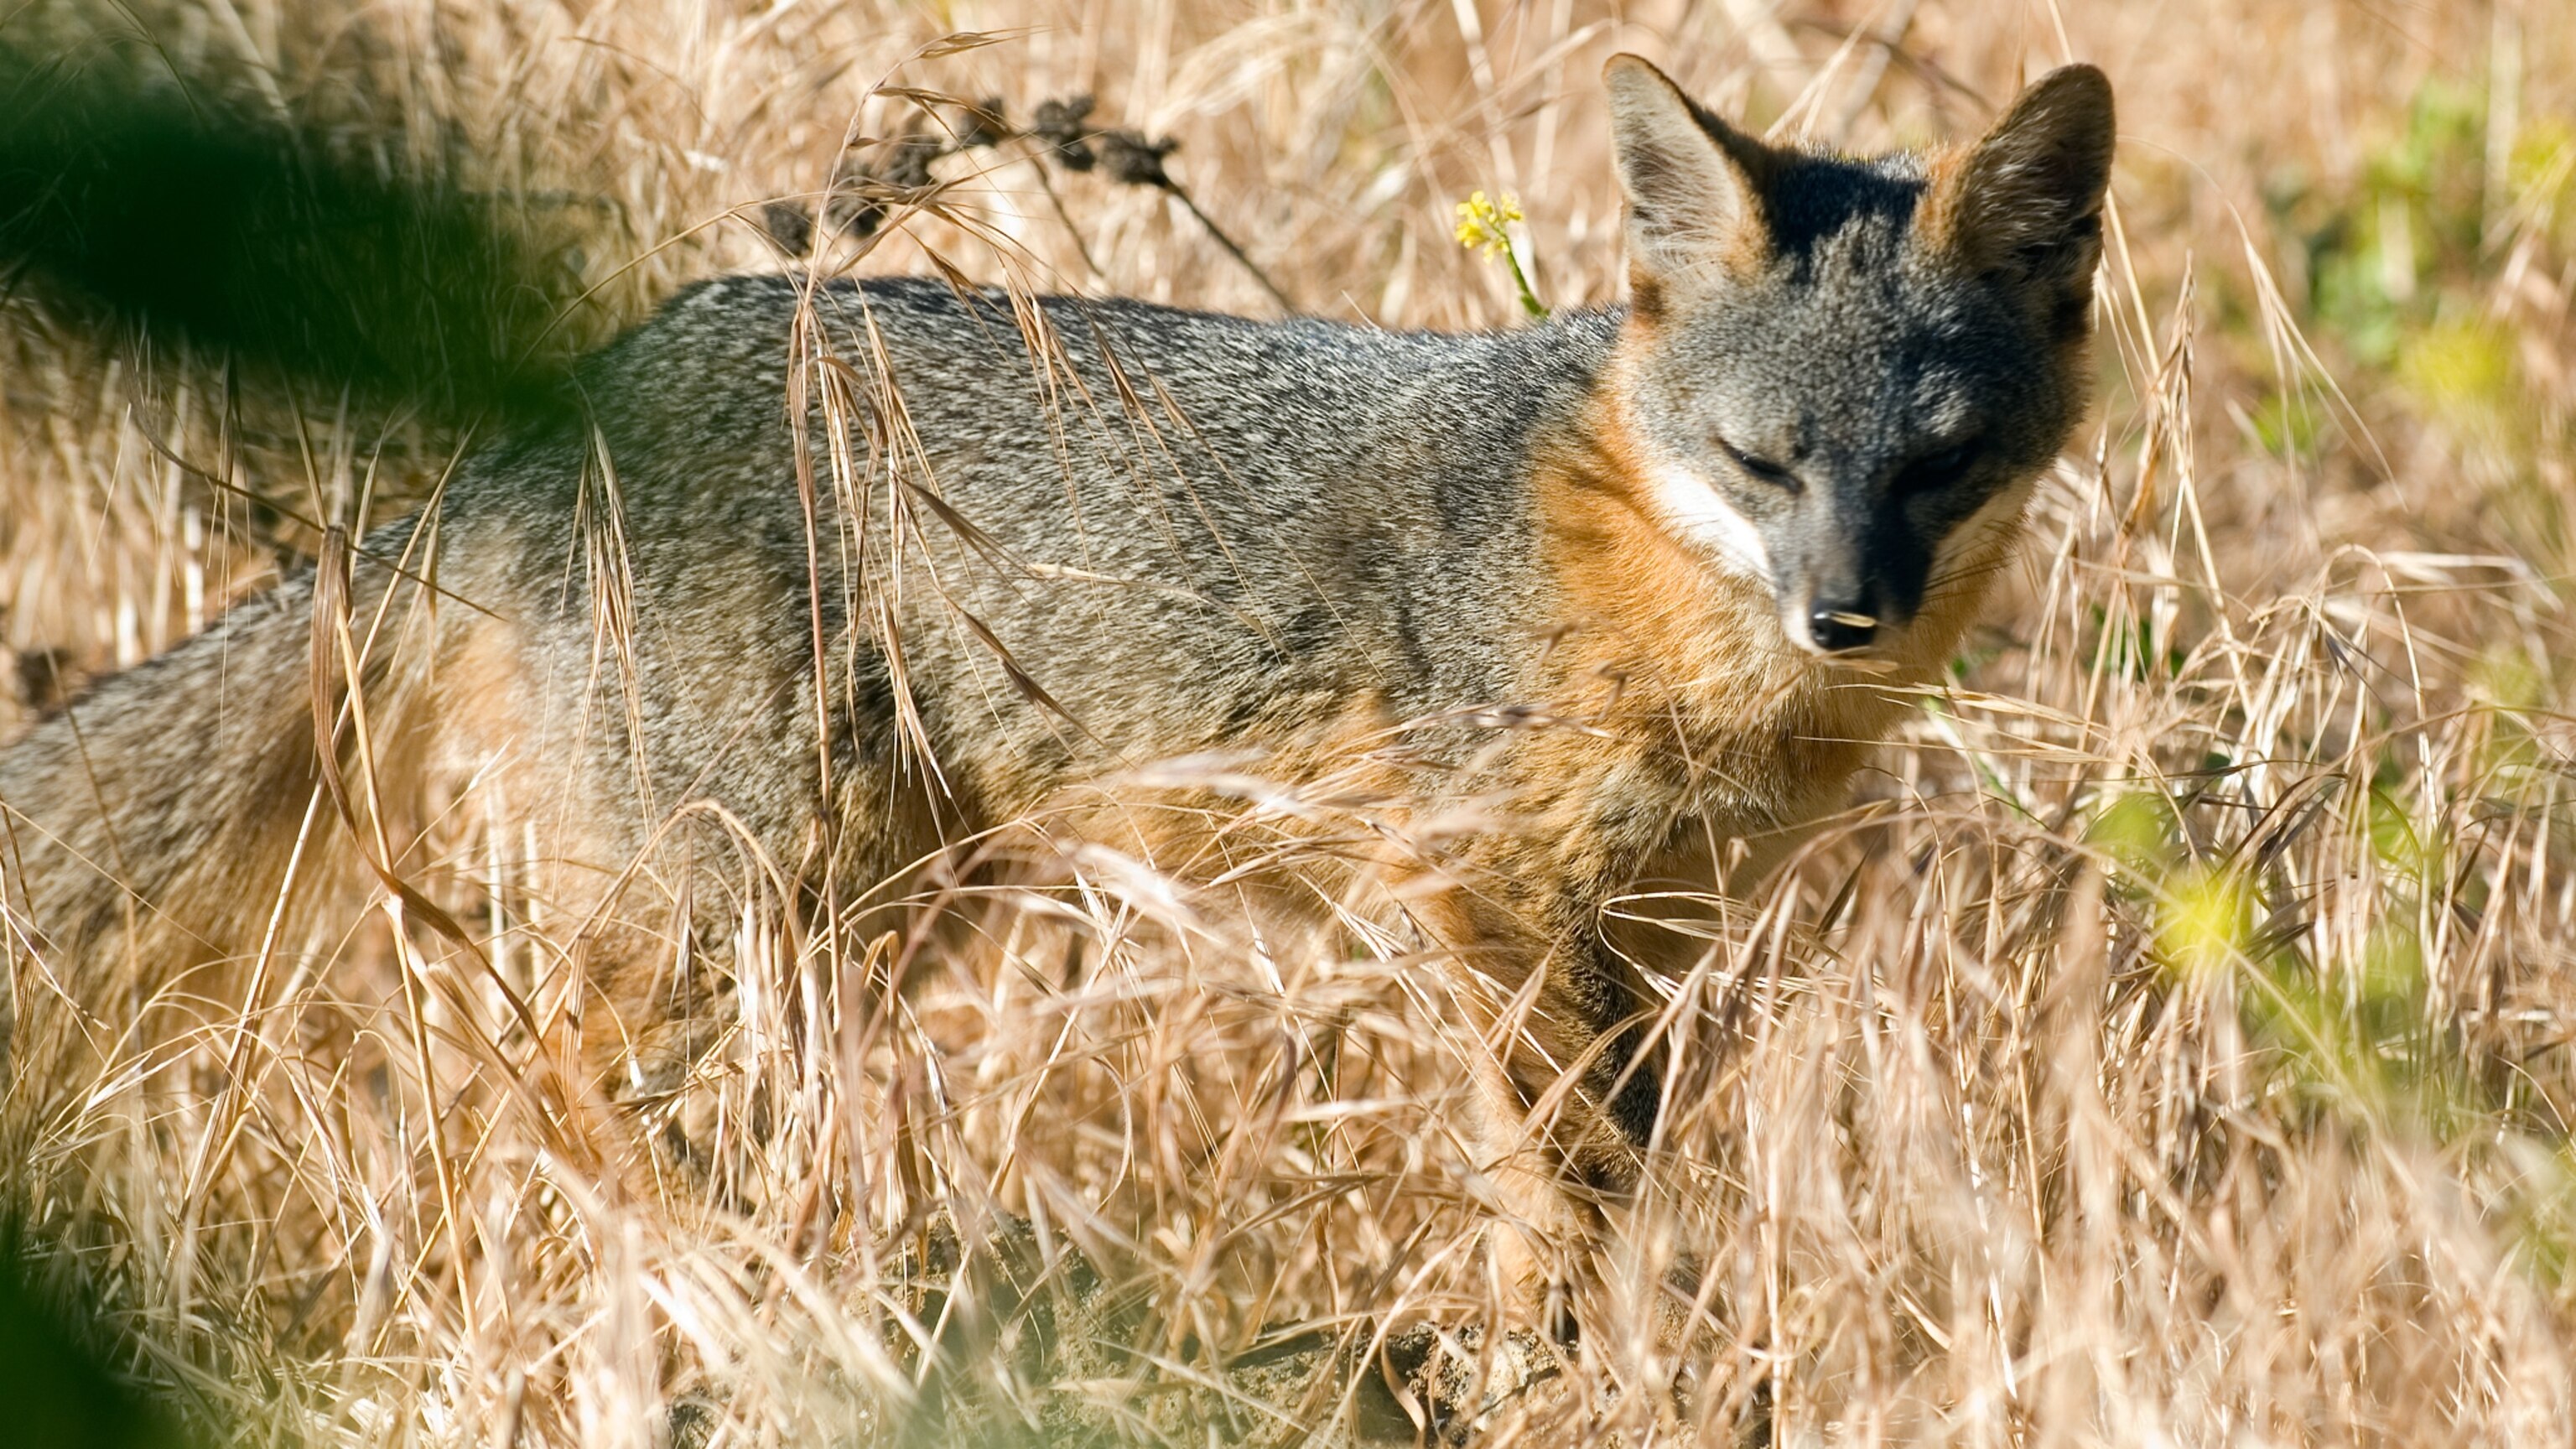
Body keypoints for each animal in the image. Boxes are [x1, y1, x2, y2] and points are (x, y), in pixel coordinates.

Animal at [0, 55, 2112, 1315]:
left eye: (1936, 465)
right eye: (1762, 462)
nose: (1846, 613)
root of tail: (555, 399)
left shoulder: (1650, 932)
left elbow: (1611, 1175)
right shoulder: (1491, 897)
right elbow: (1561, 1188)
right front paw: (1563, 1356)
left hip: (860, 912)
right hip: (732, 896)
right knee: (540, 1081)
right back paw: (743, 1288)